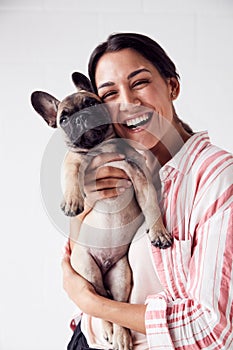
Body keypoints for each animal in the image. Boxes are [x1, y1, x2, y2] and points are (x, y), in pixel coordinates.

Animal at [31, 72, 173, 348]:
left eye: (91, 103)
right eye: (63, 119)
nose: (82, 118)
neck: (102, 147)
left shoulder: (139, 177)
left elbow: (151, 206)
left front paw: (158, 232)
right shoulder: (73, 161)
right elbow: (71, 174)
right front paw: (72, 200)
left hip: (121, 275)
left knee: (113, 304)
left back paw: (121, 335)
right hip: (87, 267)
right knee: (99, 302)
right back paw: (111, 332)